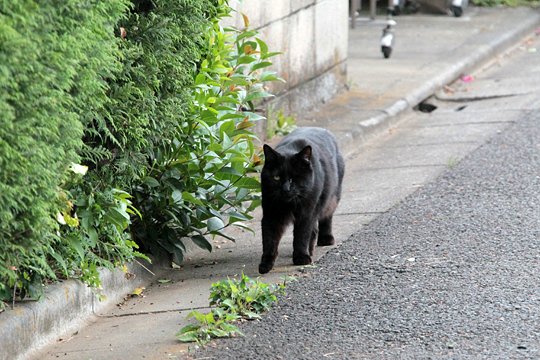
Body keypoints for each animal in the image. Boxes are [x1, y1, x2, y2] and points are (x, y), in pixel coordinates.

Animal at [258, 126, 344, 272]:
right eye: (276, 177)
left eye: (295, 178)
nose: (285, 189)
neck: (289, 204)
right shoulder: (271, 213)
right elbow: (269, 239)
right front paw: (266, 264)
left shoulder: (307, 212)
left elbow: (301, 235)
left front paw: (301, 257)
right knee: (314, 229)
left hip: (331, 197)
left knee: (326, 217)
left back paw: (325, 239)